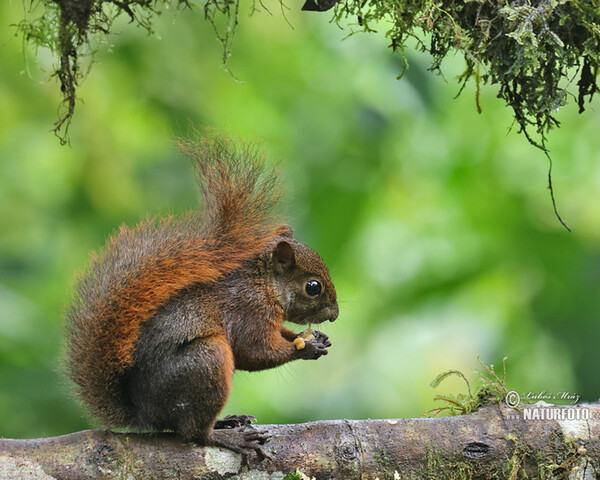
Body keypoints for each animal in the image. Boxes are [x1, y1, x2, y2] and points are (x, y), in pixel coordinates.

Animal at [65, 134, 338, 458]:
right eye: (313, 287)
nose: (334, 315)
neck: (263, 284)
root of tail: (144, 414)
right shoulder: (249, 310)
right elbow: (254, 351)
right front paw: (305, 348)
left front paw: (314, 338)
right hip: (206, 362)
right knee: (193, 433)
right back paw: (228, 437)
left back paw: (228, 421)